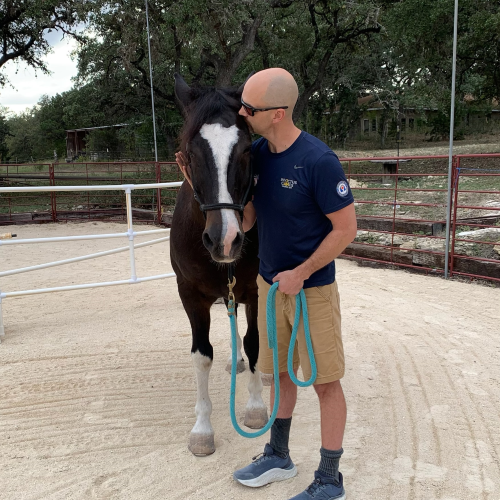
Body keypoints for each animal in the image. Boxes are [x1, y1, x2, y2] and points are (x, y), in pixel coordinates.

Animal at [170, 73, 268, 458]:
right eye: (190, 152)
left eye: (246, 150)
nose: (224, 240)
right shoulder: (190, 295)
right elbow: (202, 356)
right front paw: (202, 430)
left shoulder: (255, 291)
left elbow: (255, 343)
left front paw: (255, 408)